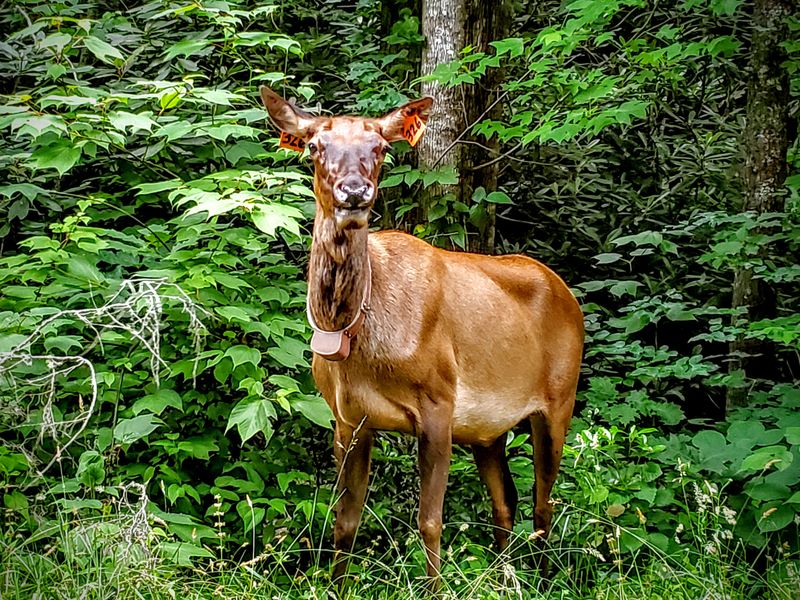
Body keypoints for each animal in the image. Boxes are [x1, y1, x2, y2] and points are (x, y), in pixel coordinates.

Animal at [259, 86, 584, 590]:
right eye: (314, 146)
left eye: (380, 148)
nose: (354, 190)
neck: (354, 336)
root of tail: (568, 293)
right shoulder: (347, 419)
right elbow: (345, 521)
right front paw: (336, 587)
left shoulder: (439, 402)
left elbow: (429, 521)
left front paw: (435, 589)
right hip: (487, 429)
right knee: (506, 500)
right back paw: (502, 579)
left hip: (559, 399)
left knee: (543, 501)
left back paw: (543, 582)